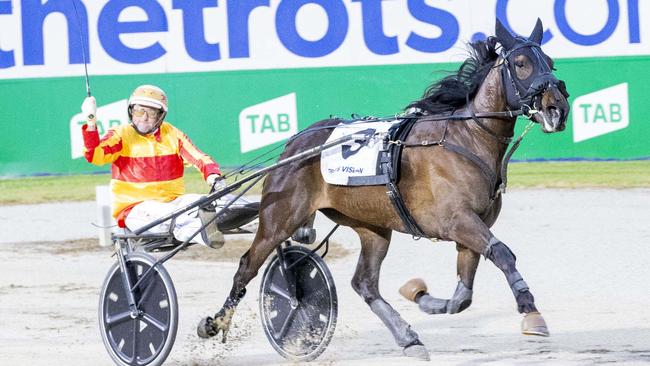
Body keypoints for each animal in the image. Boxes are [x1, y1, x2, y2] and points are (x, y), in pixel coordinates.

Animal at [197, 18, 568, 358]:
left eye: (549, 62)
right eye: (521, 64)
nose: (557, 109)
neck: (466, 138)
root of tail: (294, 145)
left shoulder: (471, 229)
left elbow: (463, 296)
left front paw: (421, 296)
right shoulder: (457, 221)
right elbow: (503, 253)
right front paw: (531, 312)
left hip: (372, 226)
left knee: (365, 284)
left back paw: (408, 337)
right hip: (280, 217)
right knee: (247, 266)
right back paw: (216, 323)